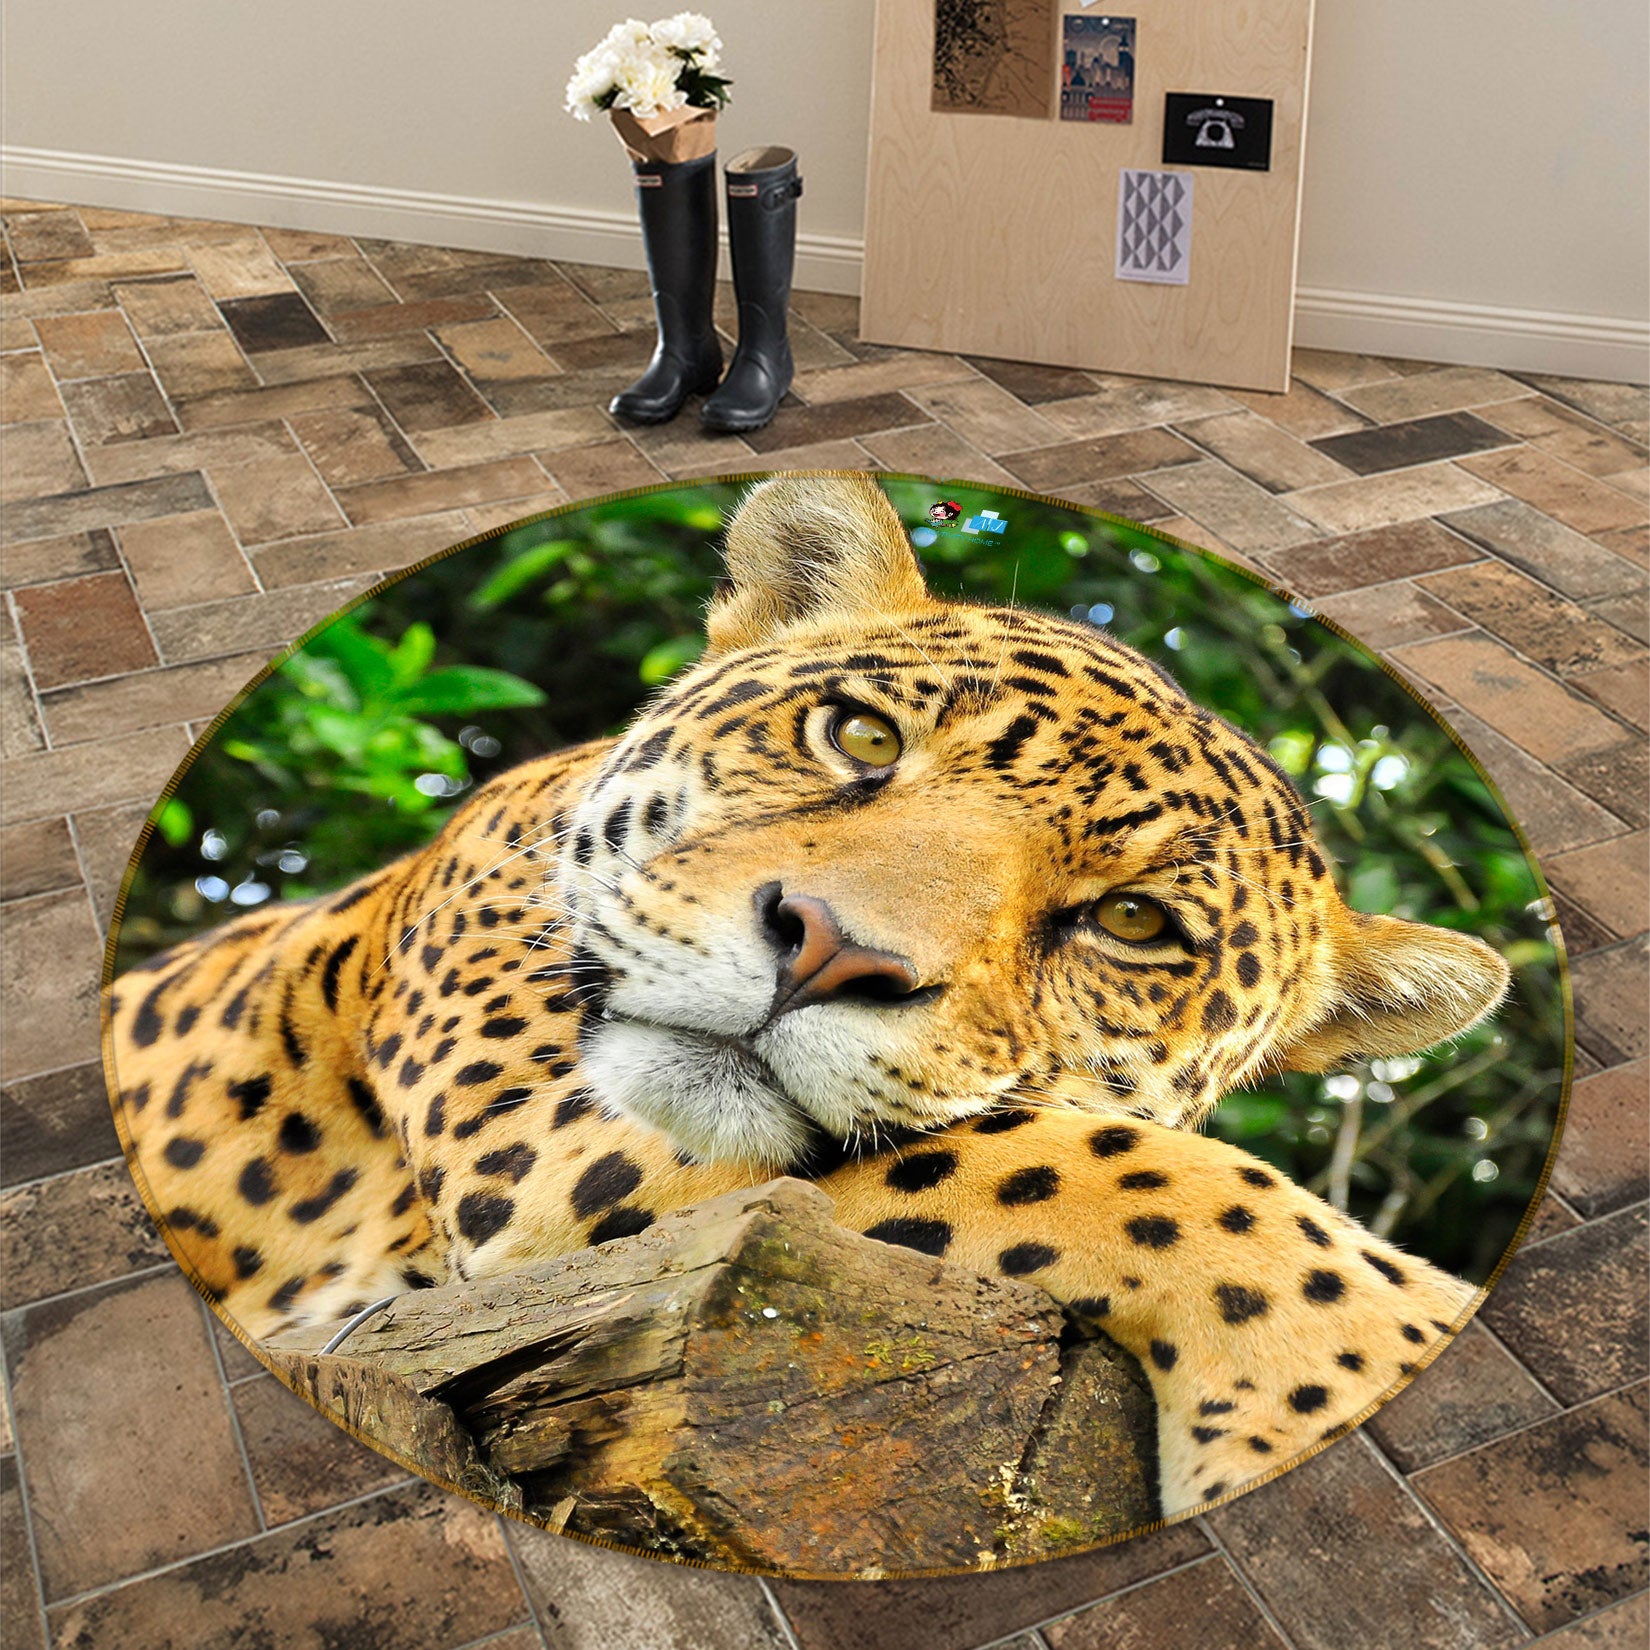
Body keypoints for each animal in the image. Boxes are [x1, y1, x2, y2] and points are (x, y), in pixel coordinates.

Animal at [107, 472, 1512, 1518]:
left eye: (1132, 923)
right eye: (862, 737)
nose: (830, 953)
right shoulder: (531, 1150)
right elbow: (1101, 1166)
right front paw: (1368, 1351)